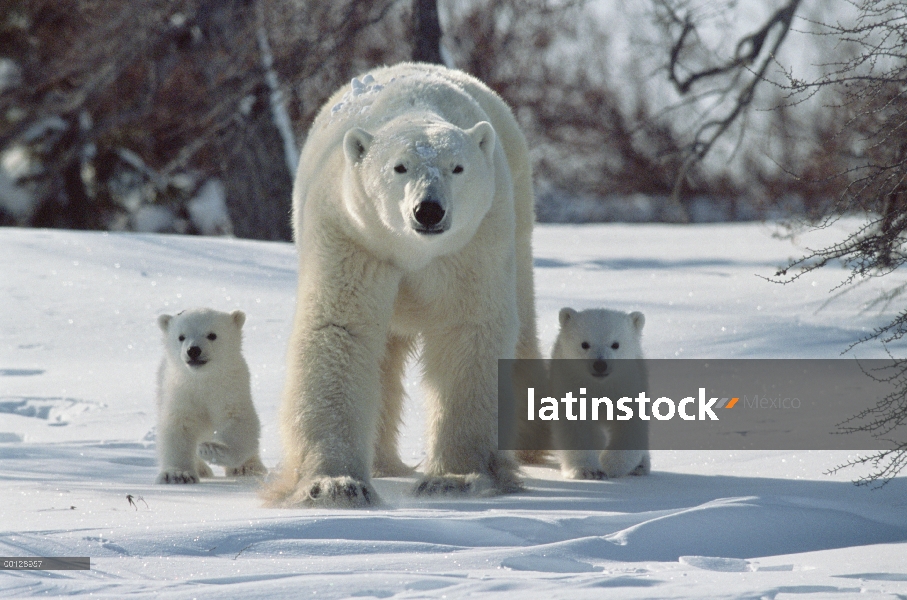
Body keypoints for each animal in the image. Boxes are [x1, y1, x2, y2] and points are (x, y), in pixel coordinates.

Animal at [154, 310, 268, 482]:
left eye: (212, 335)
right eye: (181, 336)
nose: (193, 350)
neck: (203, 379)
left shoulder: (230, 389)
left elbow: (239, 421)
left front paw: (212, 450)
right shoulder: (180, 392)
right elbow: (178, 426)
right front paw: (178, 475)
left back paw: (248, 468)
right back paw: (202, 469)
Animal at [266, 64, 544, 506]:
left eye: (457, 167)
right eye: (399, 167)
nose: (428, 210)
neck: (412, 251)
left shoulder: (472, 243)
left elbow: (468, 330)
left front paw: (456, 478)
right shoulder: (352, 234)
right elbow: (341, 329)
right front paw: (334, 485)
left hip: (517, 217)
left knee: (522, 322)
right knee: (384, 355)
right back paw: (382, 463)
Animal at [548, 308, 648, 480]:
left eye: (615, 344)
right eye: (584, 344)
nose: (600, 364)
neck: (599, 387)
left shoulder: (627, 387)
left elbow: (631, 425)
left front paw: (611, 464)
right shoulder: (571, 387)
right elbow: (575, 427)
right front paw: (587, 470)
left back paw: (641, 466)